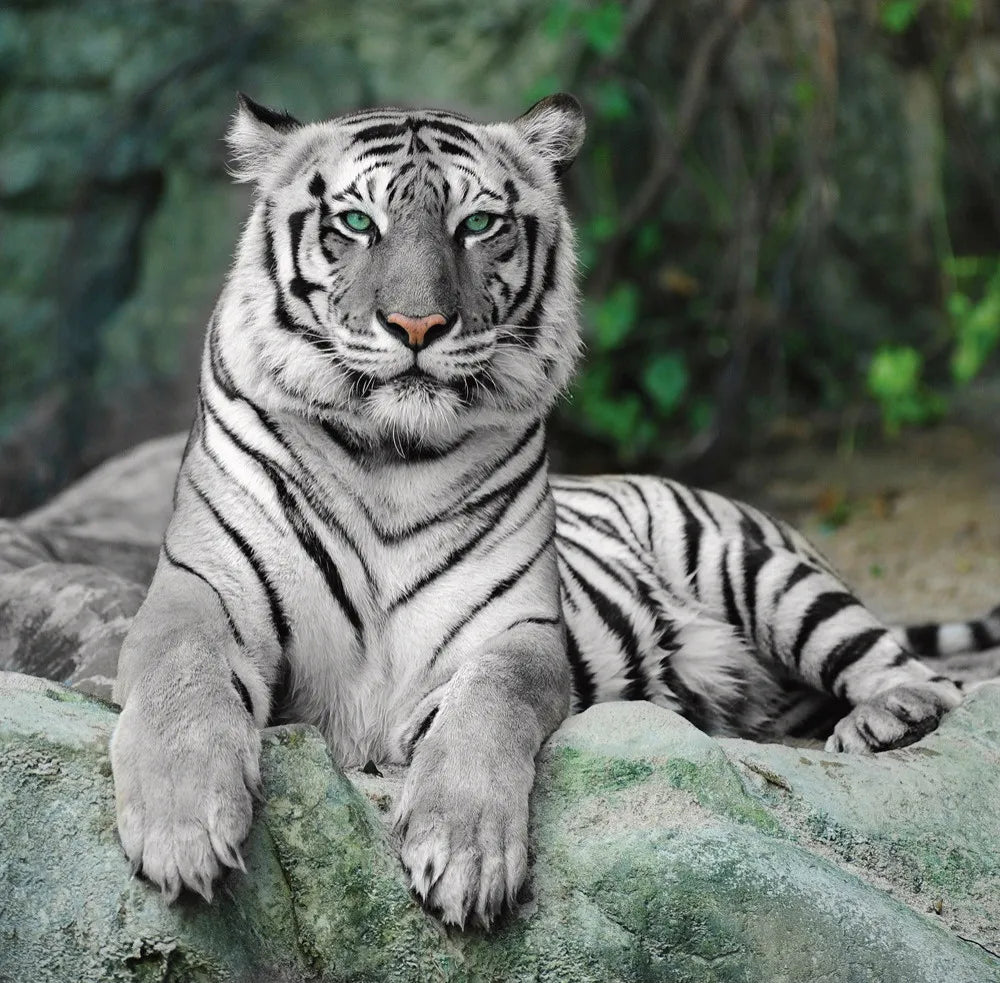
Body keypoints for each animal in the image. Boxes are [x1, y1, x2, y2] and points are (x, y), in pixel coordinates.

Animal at [109, 92, 1000, 929]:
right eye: (357, 222)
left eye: (477, 225)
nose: (417, 325)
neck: (389, 458)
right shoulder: (198, 590)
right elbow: (180, 681)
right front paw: (182, 830)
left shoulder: (515, 629)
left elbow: (486, 709)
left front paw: (465, 853)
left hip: (762, 571)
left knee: (921, 672)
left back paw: (889, 718)